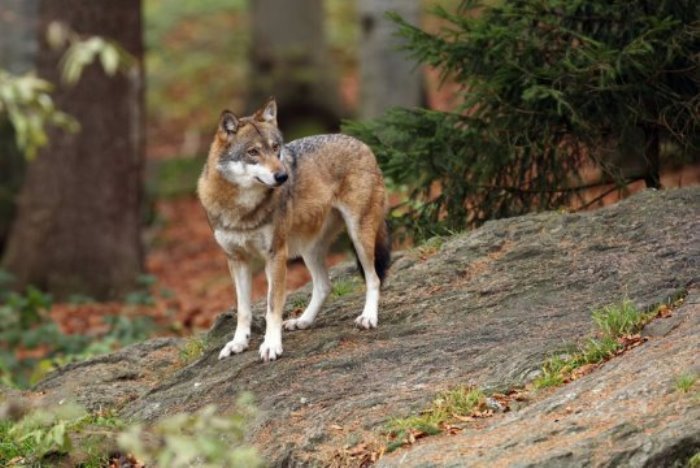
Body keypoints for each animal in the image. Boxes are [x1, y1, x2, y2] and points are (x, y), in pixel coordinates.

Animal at [197, 98, 390, 362]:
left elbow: (271, 307)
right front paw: (238, 343)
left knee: (373, 278)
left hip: (359, 235)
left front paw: (271, 345)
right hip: (309, 249)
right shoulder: (236, 260)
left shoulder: (276, 255)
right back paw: (303, 321)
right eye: (253, 152)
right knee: (324, 285)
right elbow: (243, 310)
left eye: (275, 147)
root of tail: (361, 142)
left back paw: (368, 317)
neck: (241, 209)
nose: (282, 176)